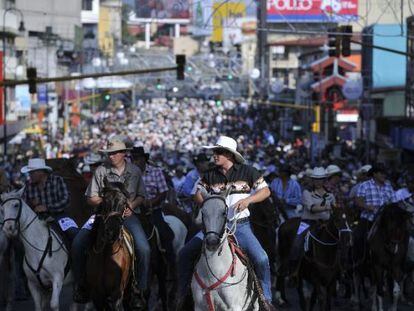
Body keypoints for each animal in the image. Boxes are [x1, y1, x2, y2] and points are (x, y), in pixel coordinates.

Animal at [85, 182, 134, 310]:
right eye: (105, 200)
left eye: (124, 203)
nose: (112, 231)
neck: (107, 253)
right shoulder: (97, 294)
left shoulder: (117, 293)